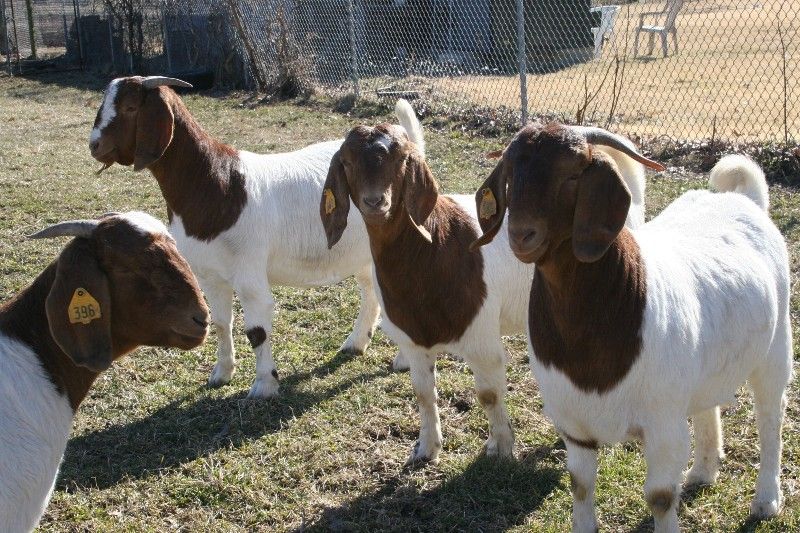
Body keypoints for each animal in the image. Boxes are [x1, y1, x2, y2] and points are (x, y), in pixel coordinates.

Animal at [88, 75, 405, 398]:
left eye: (129, 107)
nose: (95, 145)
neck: (217, 181)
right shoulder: (209, 274)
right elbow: (219, 323)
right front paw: (222, 373)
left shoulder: (248, 271)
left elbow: (257, 330)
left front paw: (264, 384)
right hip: (363, 254)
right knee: (370, 291)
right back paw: (356, 343)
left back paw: (402, 359)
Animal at [319, 106, 648, 463]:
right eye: (347, 162)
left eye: (401, 159)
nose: (375, 202)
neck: (434, 246)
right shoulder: (414, 340)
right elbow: (423, 394)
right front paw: (427, 447)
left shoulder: (482, 339)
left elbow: (489, 395)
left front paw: (501, 447)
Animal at [474, 123, 792, 532]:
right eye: (512, 174)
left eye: (573, 174)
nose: (521, 235)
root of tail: (742, 200)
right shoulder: (573, 421)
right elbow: (580, 484)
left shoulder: (662, 425)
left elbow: (660, 497)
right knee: (708, 406)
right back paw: (702, 472)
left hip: (775, 351)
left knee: (771, 418)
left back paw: (767, 499)